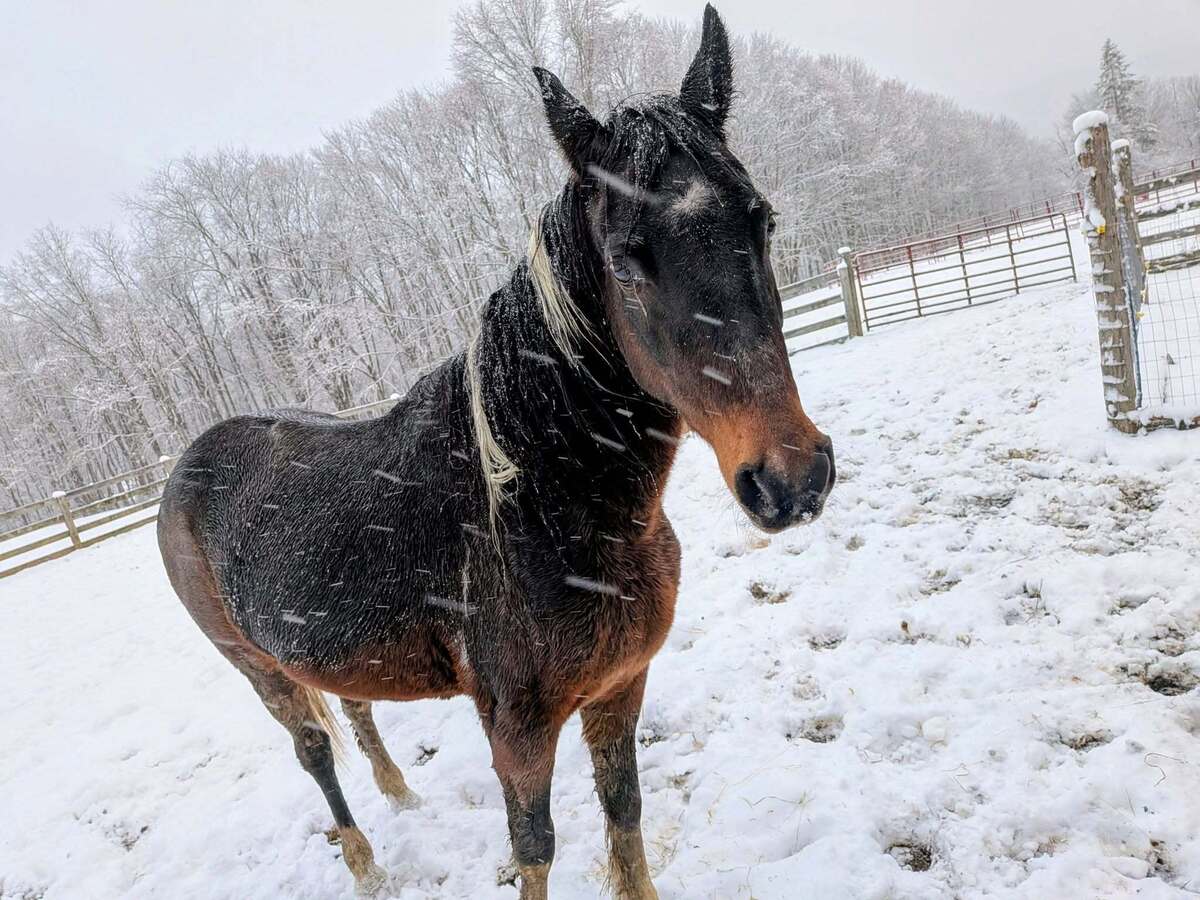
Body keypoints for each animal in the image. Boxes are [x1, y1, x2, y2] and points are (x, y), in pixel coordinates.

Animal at [157, 5, 835, 897]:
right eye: (627, 262)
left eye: (762, 221)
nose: (792, 479)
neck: (540, 499)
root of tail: (183, 470)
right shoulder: (519, 728)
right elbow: (535, 847)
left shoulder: (620, 688)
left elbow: (625, 816)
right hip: (255, 666)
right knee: (311, 750)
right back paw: (367, 864)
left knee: (355, 710)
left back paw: (400, 794)